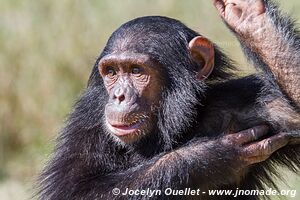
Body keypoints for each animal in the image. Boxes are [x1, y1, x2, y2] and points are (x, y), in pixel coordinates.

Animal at [37, 0, 300, 200]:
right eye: (111, 72)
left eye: (136, 71)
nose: (119, 96)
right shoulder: (87, 119)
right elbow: (75, 190)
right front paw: (211, 155)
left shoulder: (252, 103)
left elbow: (293, 117)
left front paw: (253, 21)